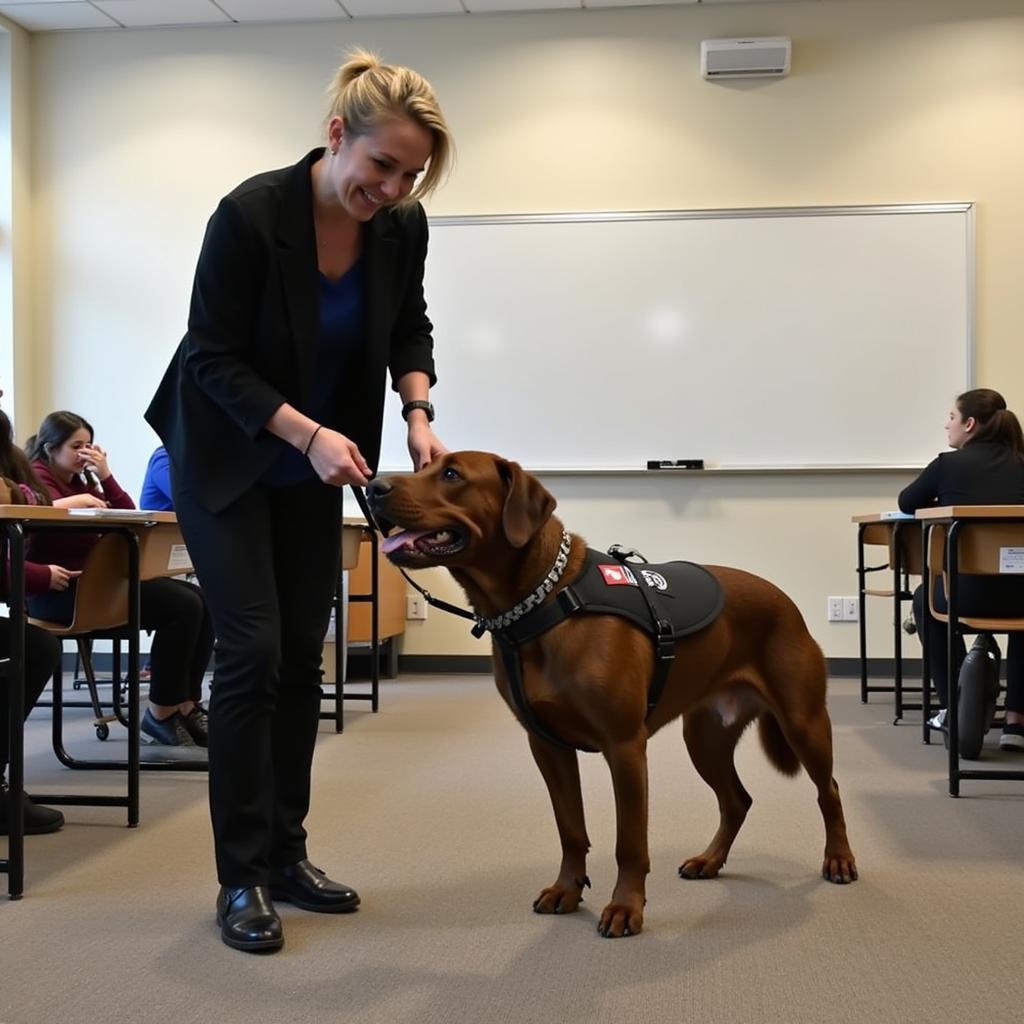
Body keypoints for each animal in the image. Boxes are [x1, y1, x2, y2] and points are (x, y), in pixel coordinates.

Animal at [368, 454, 856, 937]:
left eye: (452, 474)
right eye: (424, 466)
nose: (373, 486)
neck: (546, 602)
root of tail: (785, 601)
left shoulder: (624, 747)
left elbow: (630, 842)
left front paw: (625, 907)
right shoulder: (547, 745)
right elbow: (570, 829)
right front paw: (566, 890)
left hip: (803, 722)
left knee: (828, 789)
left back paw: (839, 859)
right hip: (705, 739)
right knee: (737, 800)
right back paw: (710, 860)